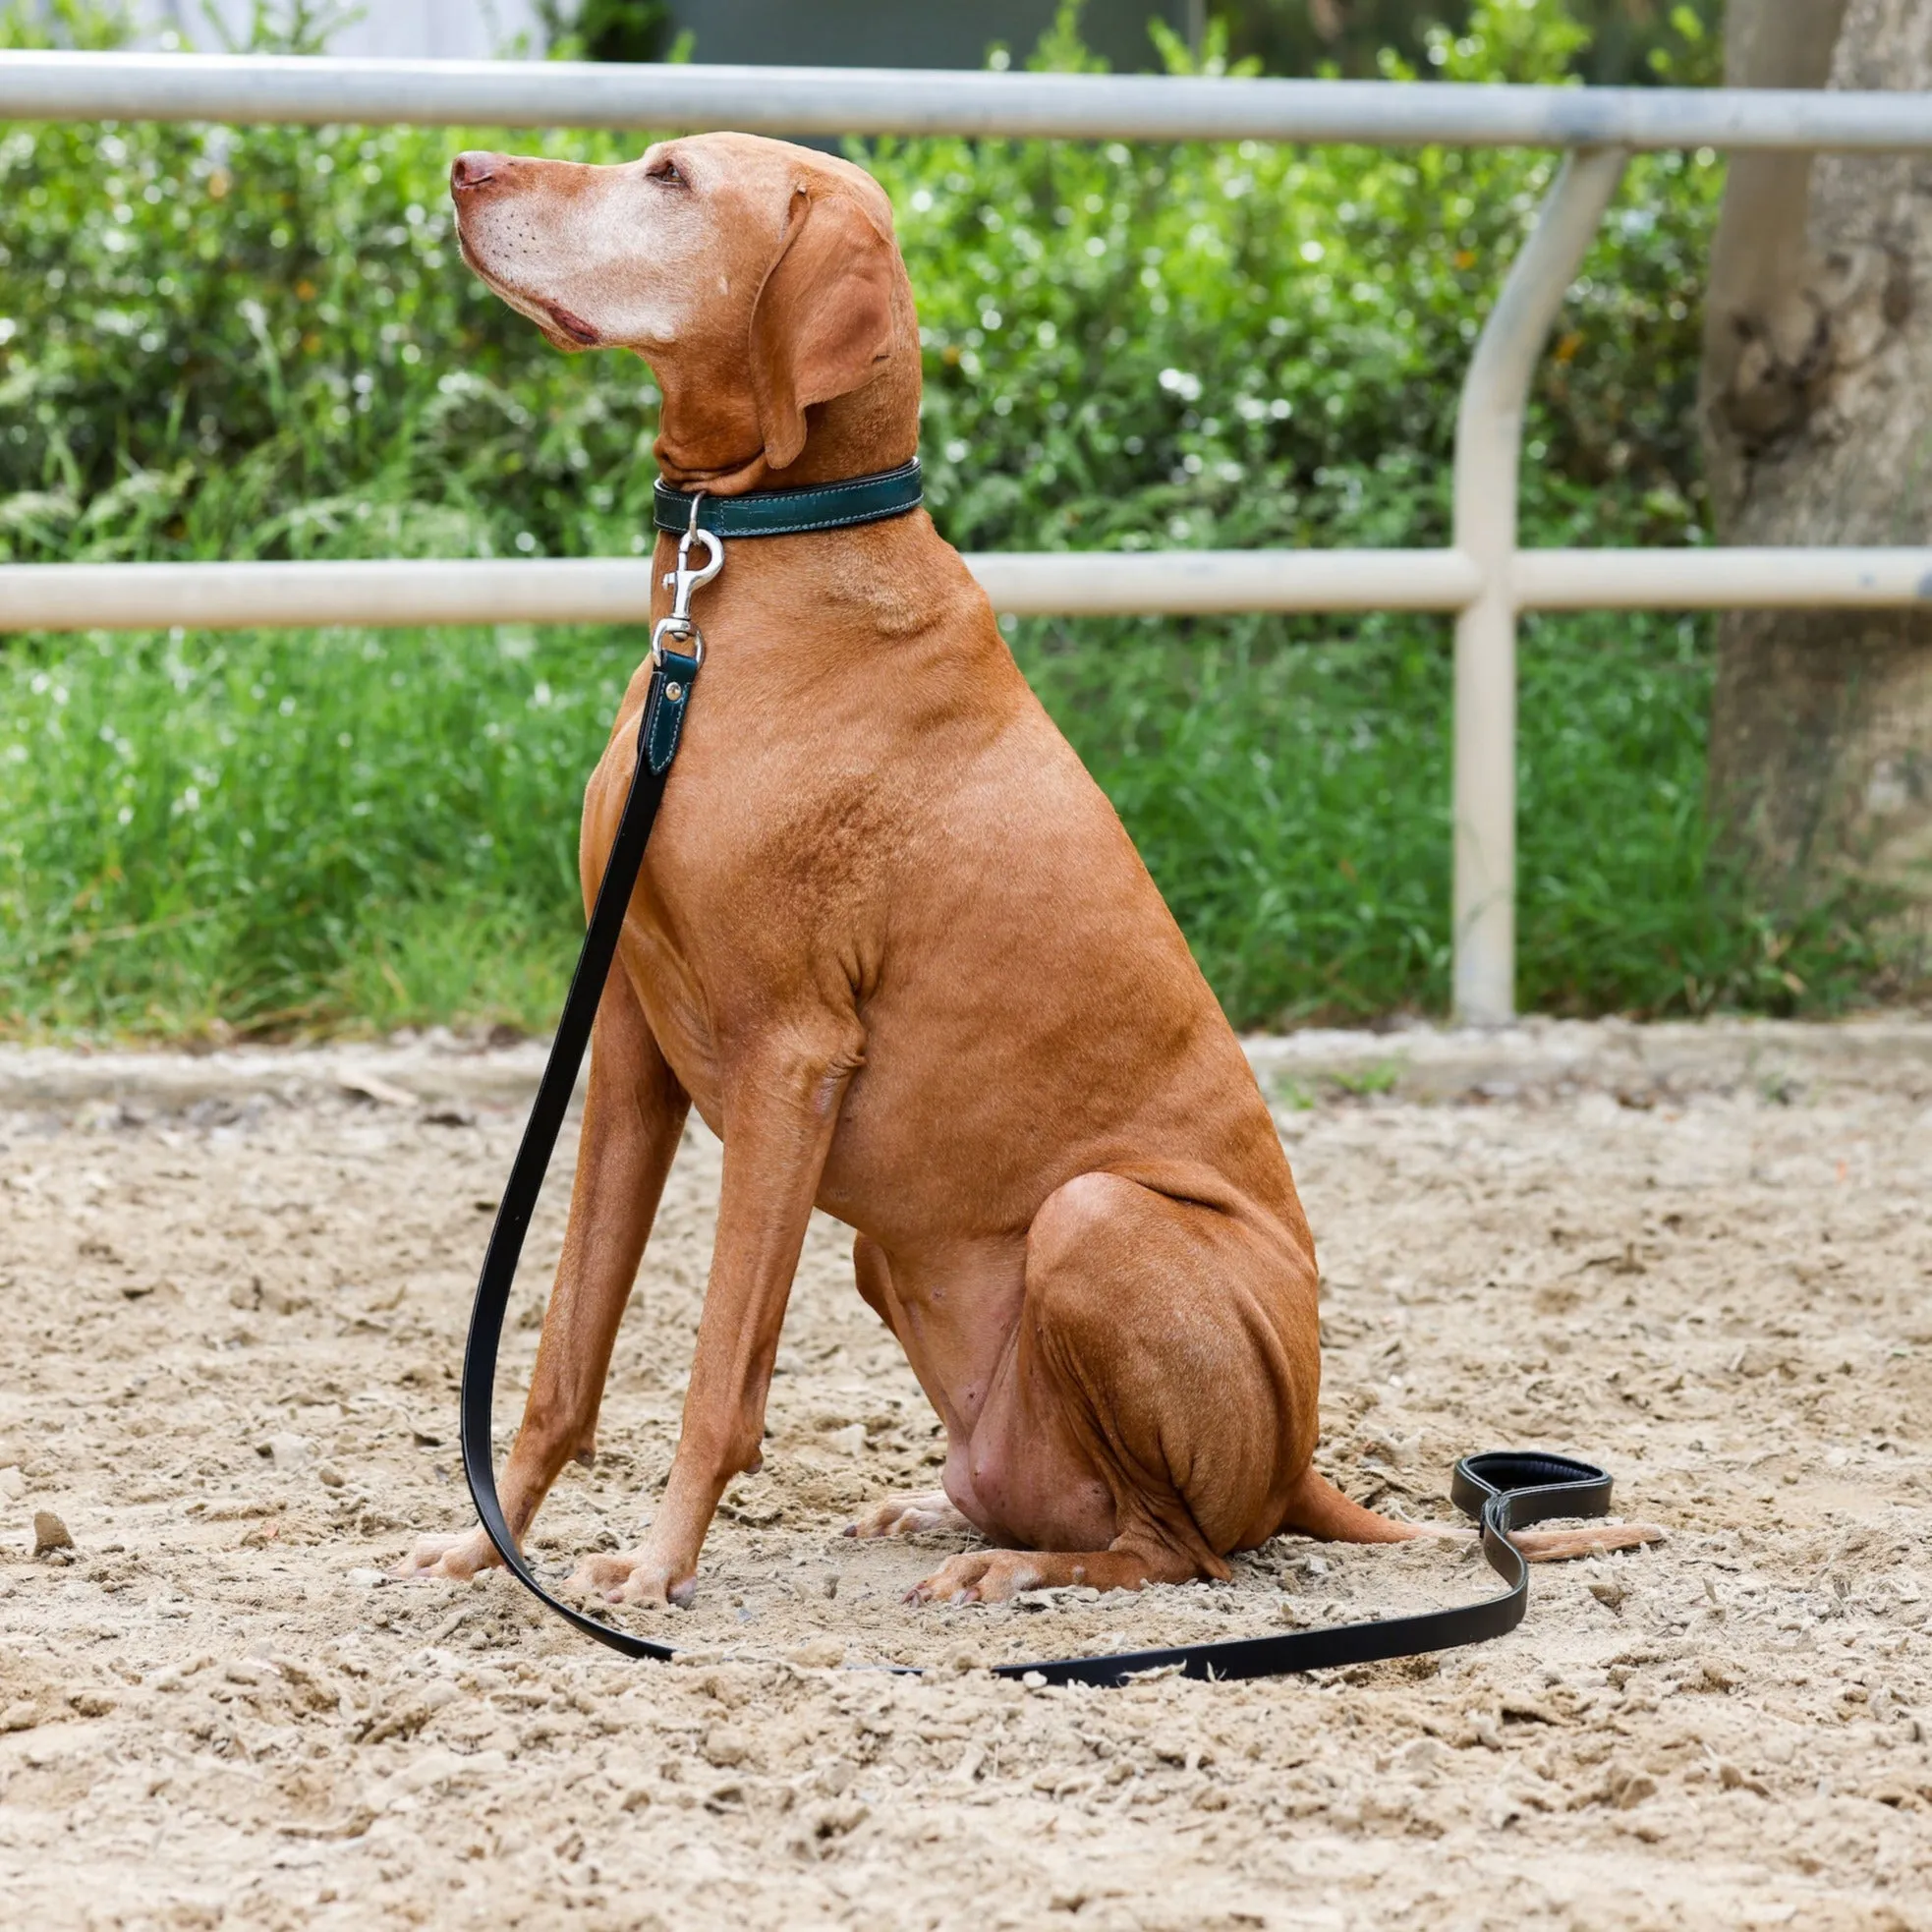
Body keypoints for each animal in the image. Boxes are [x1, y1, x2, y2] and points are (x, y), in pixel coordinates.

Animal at [396, 136, 1646, 1607]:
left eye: (669, 177)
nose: (464, 164)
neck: (758, 575)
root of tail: (1303, 1467)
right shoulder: (633, 1035)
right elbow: (561, 1353)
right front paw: (487, 1542)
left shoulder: (789, 1059)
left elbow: (718, 1377)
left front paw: (655, 1571)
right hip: (898, 1260)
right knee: (1073, 1501)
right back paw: (941, 1514)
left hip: (1095, 1220)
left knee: (1184, 1552)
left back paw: (1025, 1572)